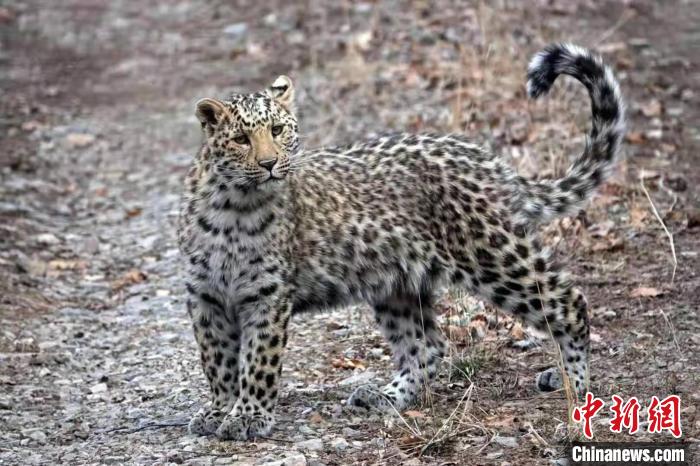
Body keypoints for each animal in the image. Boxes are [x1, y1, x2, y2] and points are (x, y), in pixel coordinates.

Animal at [177, 43, 625, 440]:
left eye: (277, 130)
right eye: (241, 140)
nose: (270, 164)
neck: (234, 208)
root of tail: (489, 161)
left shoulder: (266, 296)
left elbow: (258, 361)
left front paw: (249, 416)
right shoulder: (206, 296)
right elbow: (217, 360)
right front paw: (219, 410)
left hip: (492, 255)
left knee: (568, 302)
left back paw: (573, 385)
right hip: (396, 283)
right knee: (426, 346)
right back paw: (385, 396)